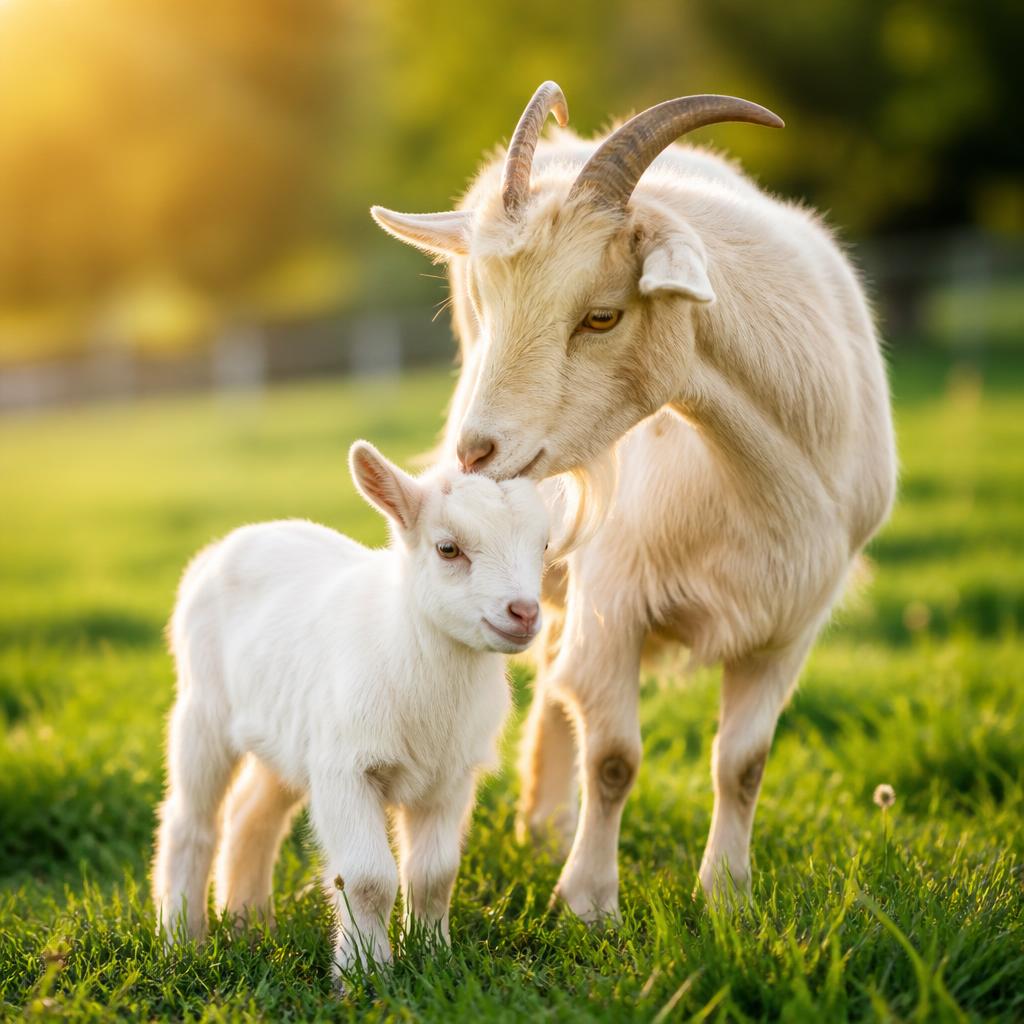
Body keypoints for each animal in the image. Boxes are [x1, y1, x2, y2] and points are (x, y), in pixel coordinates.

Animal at [152, 441, 550, 972]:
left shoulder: (450, 777)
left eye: (544, 547)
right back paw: (182, 940)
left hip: (285, 735)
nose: (524, 613)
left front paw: (433, 956)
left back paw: (249, 928)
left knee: (250, 815)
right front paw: (365, 971)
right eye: (448, 548)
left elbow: (435, 874)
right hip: (203, 709)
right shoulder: (346, 769)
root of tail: (229, 544)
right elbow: (366, 879)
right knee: (190, 821)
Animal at [370, 83, 897, 919]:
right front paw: (588, 902)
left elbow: (743, 762)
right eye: (484, 304)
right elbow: (615, 757)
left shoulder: (791, 625)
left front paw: (728, 896)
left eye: (602, 315)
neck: (758, 476)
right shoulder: (616, 598)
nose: (475, 453)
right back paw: (547, 829)